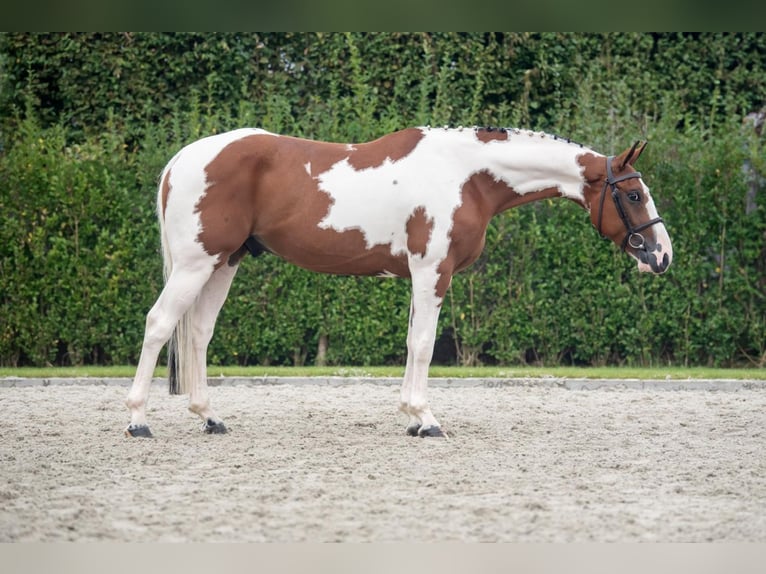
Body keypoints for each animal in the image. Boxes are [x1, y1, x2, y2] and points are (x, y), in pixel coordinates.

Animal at [124, 127, 672, 440]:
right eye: (634, 194)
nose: (661, 255)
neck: (467, 176)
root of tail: (181, 160)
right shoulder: (433, 272)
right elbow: (424, 344)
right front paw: (426, 419)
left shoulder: (420, 275)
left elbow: (412, 344)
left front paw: (411, 416)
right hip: (196, 263)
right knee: (159, 324)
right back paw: (137, 421)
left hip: (224, 262)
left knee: (197, 334)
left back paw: (209, 417)